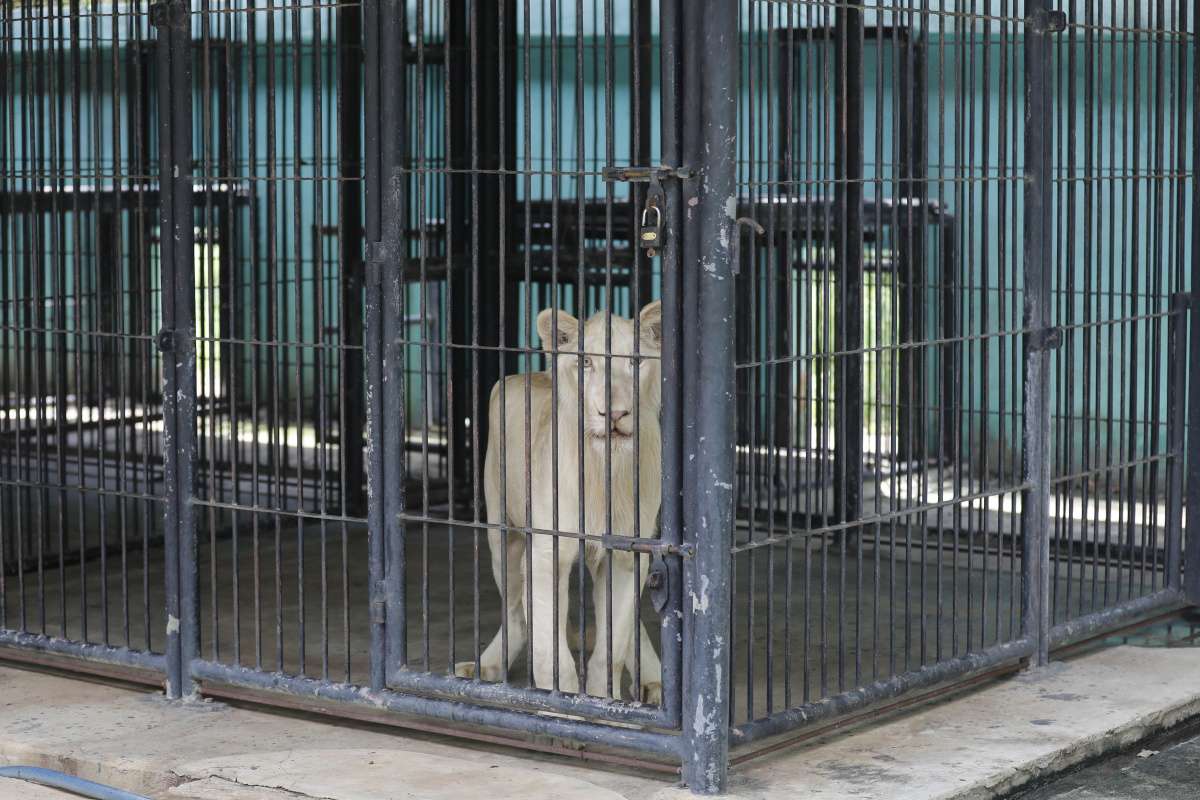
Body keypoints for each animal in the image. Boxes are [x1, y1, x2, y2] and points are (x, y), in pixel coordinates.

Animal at [456, 298, 667, 700]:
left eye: (635, 362)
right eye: (585, 363)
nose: (614, 413)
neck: (604, 471)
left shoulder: (626, 556)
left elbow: (612, 648)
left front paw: (602, 701)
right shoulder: (545, 554)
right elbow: (549, 648)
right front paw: (561, 699)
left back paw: (655, 682)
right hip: (502, 534)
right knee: (517, 612)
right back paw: (486, 666)